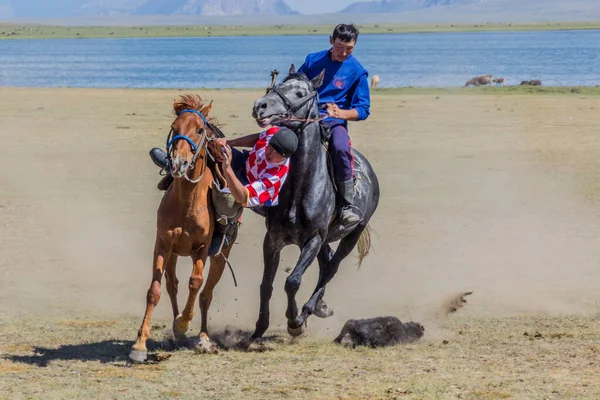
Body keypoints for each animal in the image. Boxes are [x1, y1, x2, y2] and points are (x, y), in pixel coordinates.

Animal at [129, 95, 237, 360]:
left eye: (199, 130)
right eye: (174, 128)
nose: (179, 163)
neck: (188, 200)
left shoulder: (202, 249)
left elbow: (196, 283)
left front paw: (183, 323)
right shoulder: (163, 244)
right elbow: (155, 290)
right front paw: (140, 344)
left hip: (220, 256)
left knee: (206, 294)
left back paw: (203, 337)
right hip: (175, 254)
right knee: (173, 285)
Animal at [247, 65, 380, 344]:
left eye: (299, 93)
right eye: (277, 85)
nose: (260, 106)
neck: (301, 186)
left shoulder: (313, 239)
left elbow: (292, 281)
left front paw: (295, 322)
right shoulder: (273, 240)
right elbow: (266, 284)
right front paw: (259, 328)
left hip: (351, 235)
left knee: (331, 269)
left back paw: (309, 309)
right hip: (328, 238)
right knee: (325, 263)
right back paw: (320, 307)